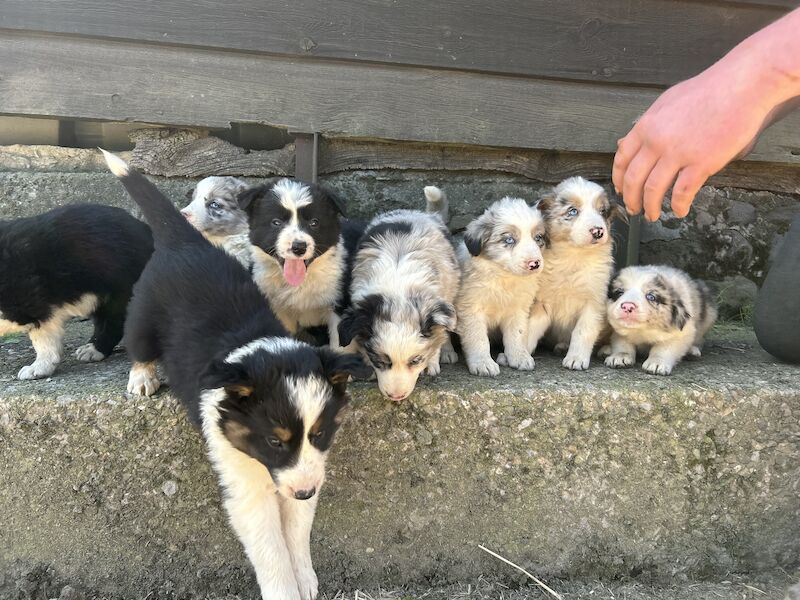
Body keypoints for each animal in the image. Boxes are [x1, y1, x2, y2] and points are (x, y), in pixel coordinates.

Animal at [238, 179, 362, 346]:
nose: (298, 247)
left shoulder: (338, 305)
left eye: (314, 223)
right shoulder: (278, 310)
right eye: (276, 222)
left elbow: (339, 344)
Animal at [336, 188, 460, 404]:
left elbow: (437, 335)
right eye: (380, 361)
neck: (398, 290)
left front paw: (431, 363)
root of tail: (422, 213)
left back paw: (448, 352)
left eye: (416, 360)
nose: (396, 396)